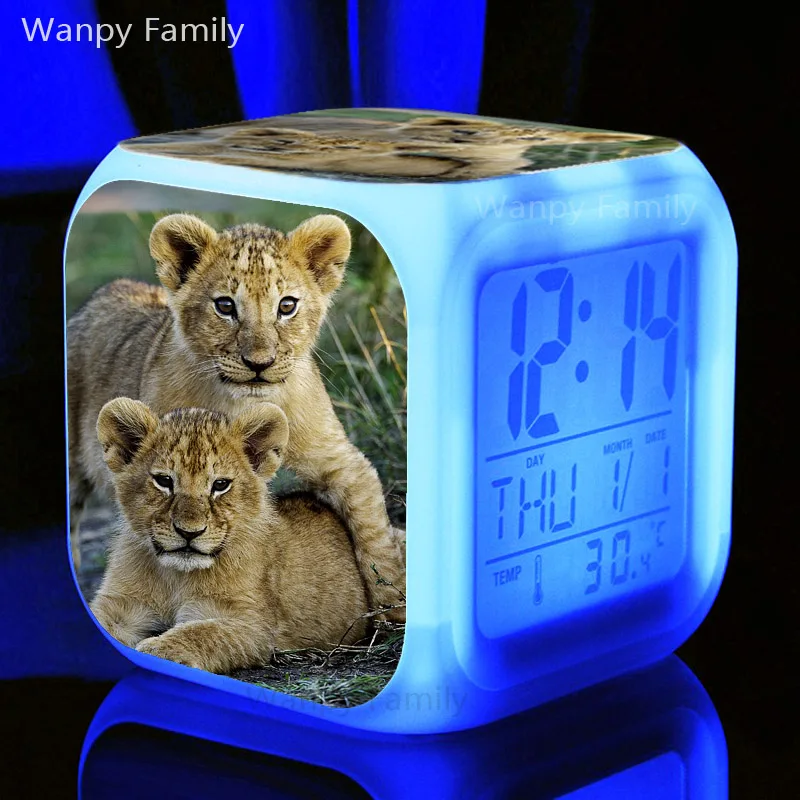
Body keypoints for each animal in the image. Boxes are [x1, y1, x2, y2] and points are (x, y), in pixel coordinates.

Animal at [68, 213, 405, 619]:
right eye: (225, 306)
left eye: (287, 306)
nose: (259, 364)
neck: (245, 403)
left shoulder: (340, 461)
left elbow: (374, 536)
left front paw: (394, 608)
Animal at [89, 398, 371, 673]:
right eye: (164, 481)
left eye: (221, 485)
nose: (189, 532)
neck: (176, 577)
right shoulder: (119, 604)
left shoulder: (254, 625)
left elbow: (204, 633)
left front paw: (157, 650)